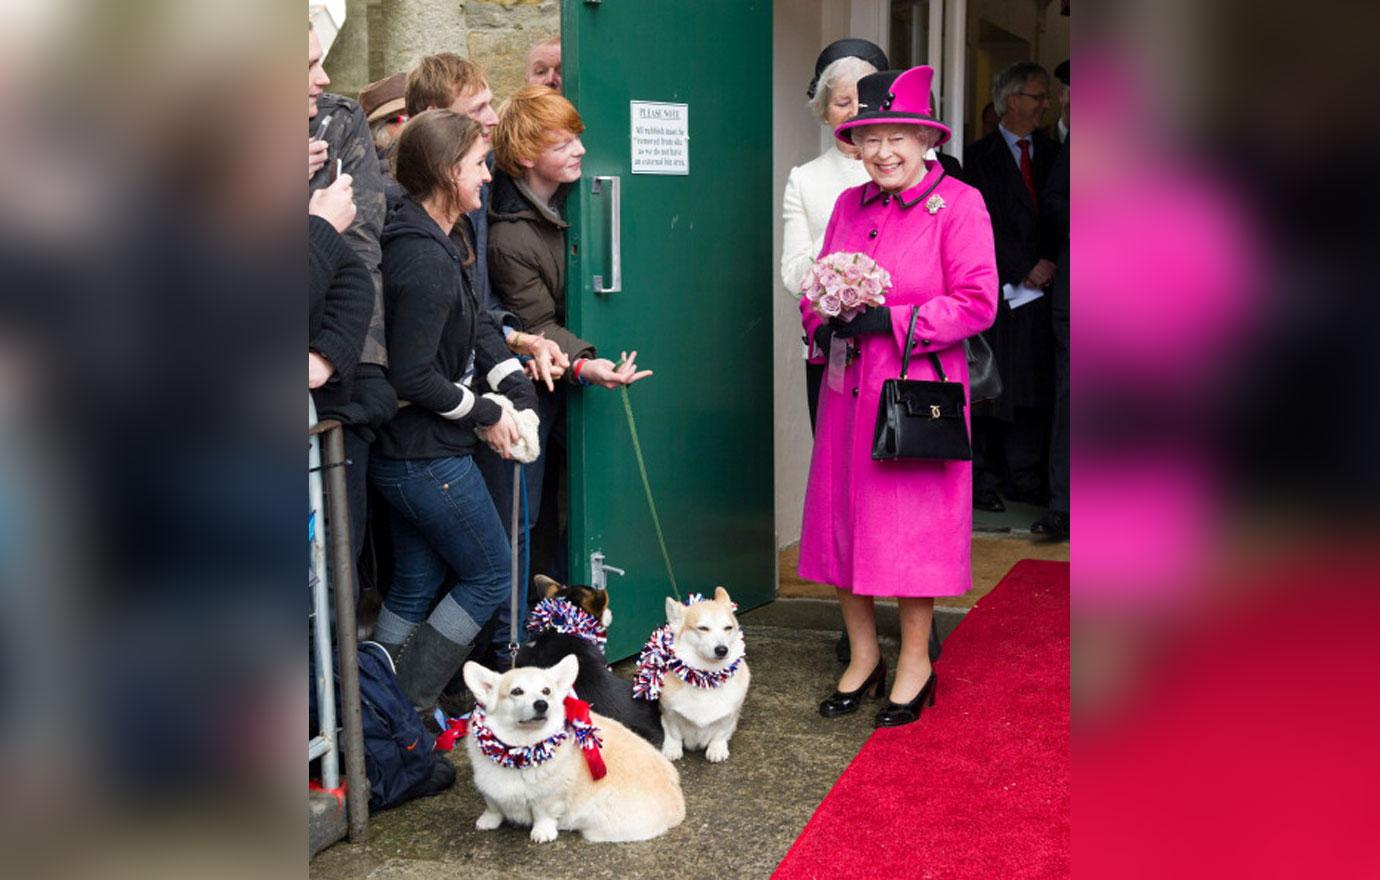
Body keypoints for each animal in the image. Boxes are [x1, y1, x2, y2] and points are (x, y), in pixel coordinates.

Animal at [460, 659, 681, 844]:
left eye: (546, 691)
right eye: (516, 691)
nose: (541, 704)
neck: (518, 751)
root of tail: (679, 805)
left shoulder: (549, 798)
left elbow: (543, 814)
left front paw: (542, 833)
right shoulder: (489, 791)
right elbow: (493, 808)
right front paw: (488, 821)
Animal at [637, 593, 756, 766]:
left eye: (728, 628)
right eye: (703, 628)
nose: (722, 650)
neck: (706, 677)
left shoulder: (729, 716)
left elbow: (721, 733)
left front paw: (717, 749)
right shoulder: (669, 714)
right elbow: (673, 733)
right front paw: (672, 749)